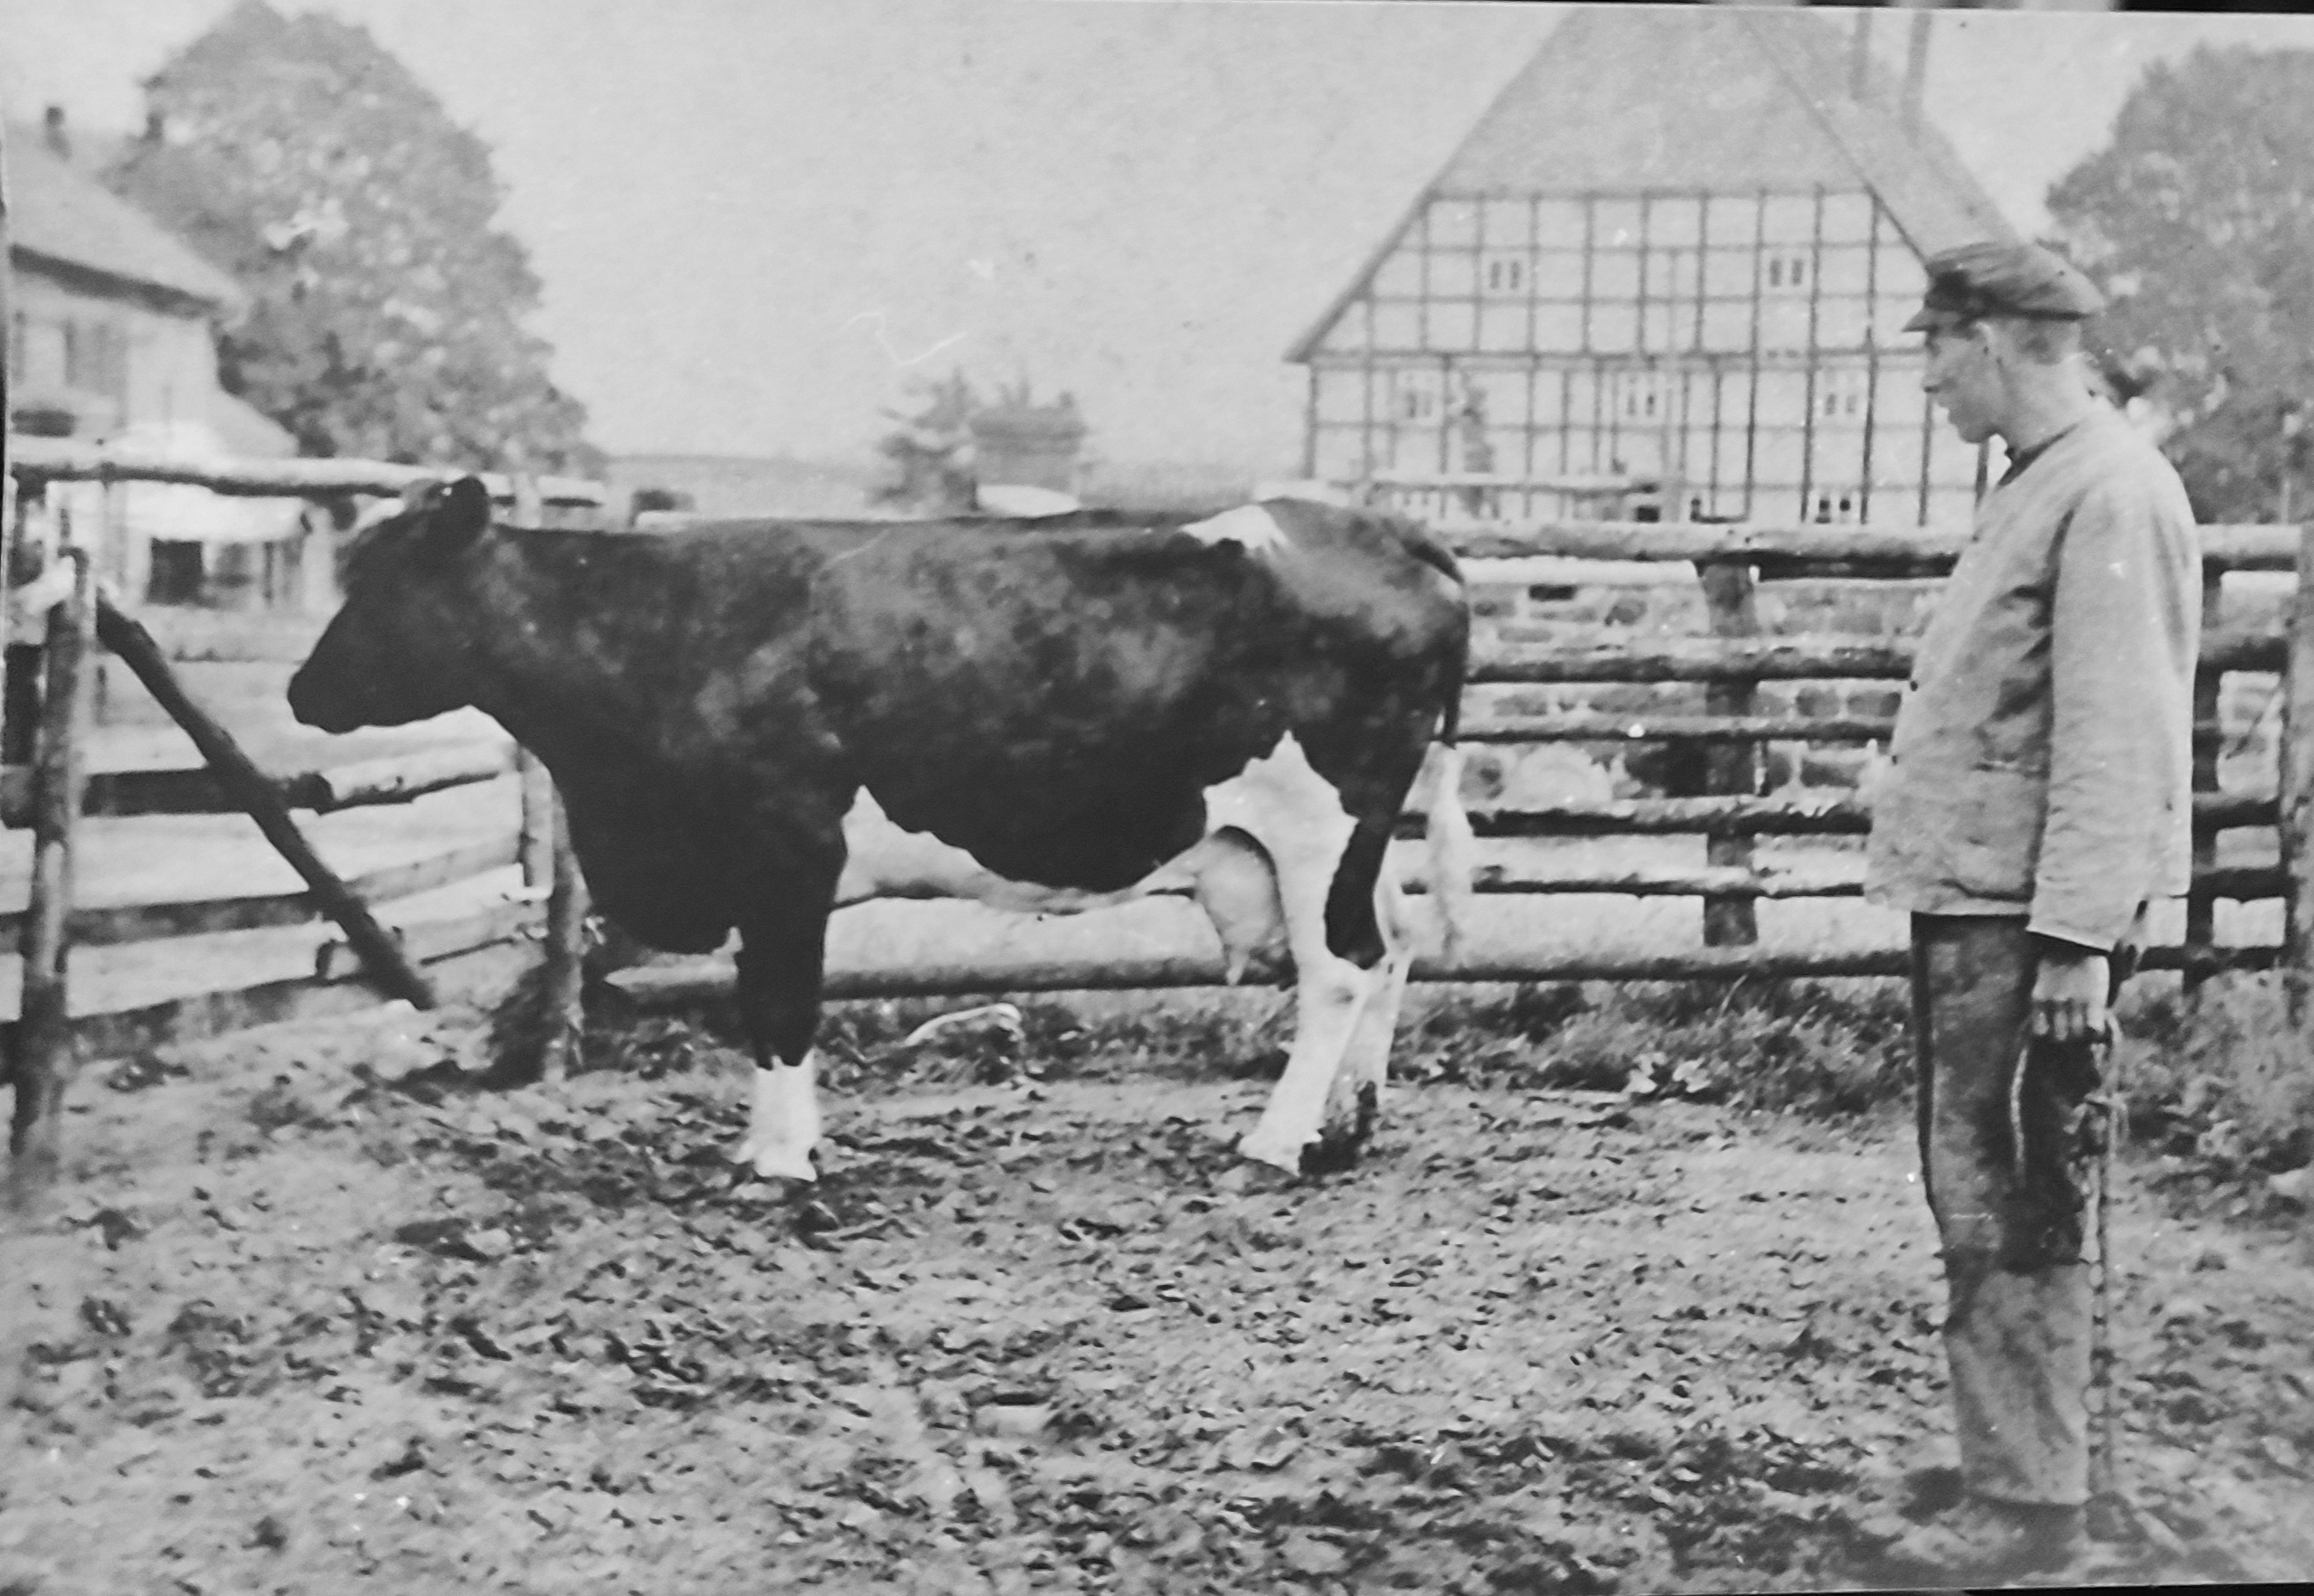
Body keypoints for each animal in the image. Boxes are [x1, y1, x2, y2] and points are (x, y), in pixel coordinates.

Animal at [288, 477, 1473, 1179]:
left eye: (382, 587)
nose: (301, 691)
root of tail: (1381, 525)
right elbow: (764, 1008)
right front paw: (767, 1148)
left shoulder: (788, 857)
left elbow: (782, 1009)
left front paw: (779, 1163)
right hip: (1350, 840)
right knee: (1392, 946)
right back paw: (1347, 1126)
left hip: (1321, 824)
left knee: (1340, 969)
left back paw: (1273, 1143)